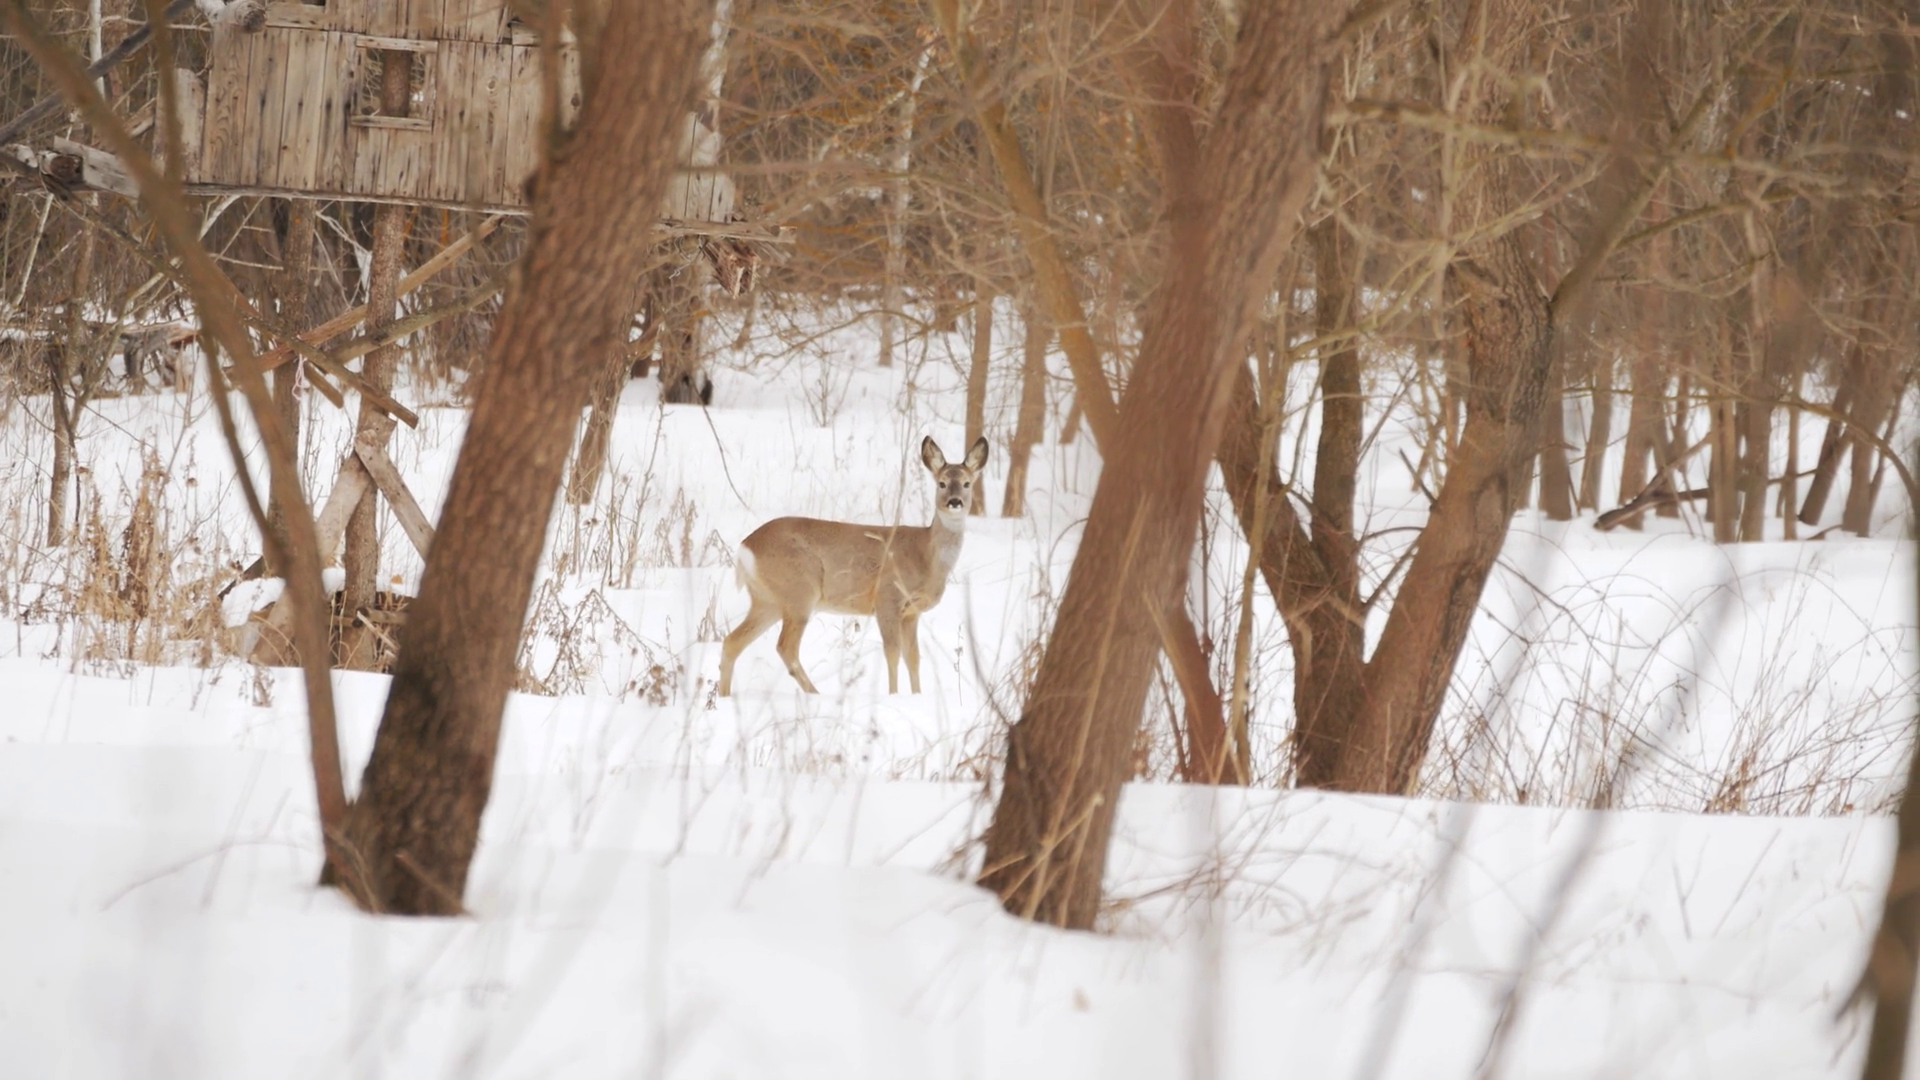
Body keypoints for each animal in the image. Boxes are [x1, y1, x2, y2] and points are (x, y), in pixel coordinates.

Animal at [717, 436, 989, 697]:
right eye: (941, 483)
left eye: (967, 483)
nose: (954, 502)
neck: (926, 556)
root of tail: (745, 547)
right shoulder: (887, 598)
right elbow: (892, 653)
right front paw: (893, 695)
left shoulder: (911, 612)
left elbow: (913, 658)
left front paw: (916, 696)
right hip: (799, 592)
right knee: (785, 647)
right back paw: (816, 694)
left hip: (768, 600)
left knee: (732, 642)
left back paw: (724, 697)